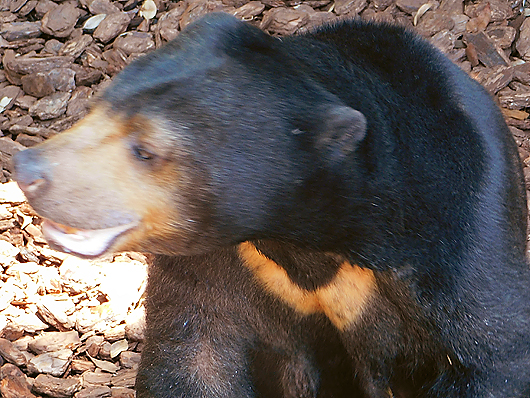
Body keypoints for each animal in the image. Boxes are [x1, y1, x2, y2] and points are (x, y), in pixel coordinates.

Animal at [11, 12, 528, 398]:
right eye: (99, 103)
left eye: (146, 150)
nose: (29, 169)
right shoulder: (222, 260)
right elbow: (193, 351)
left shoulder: (454, 236)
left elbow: (494, 353)